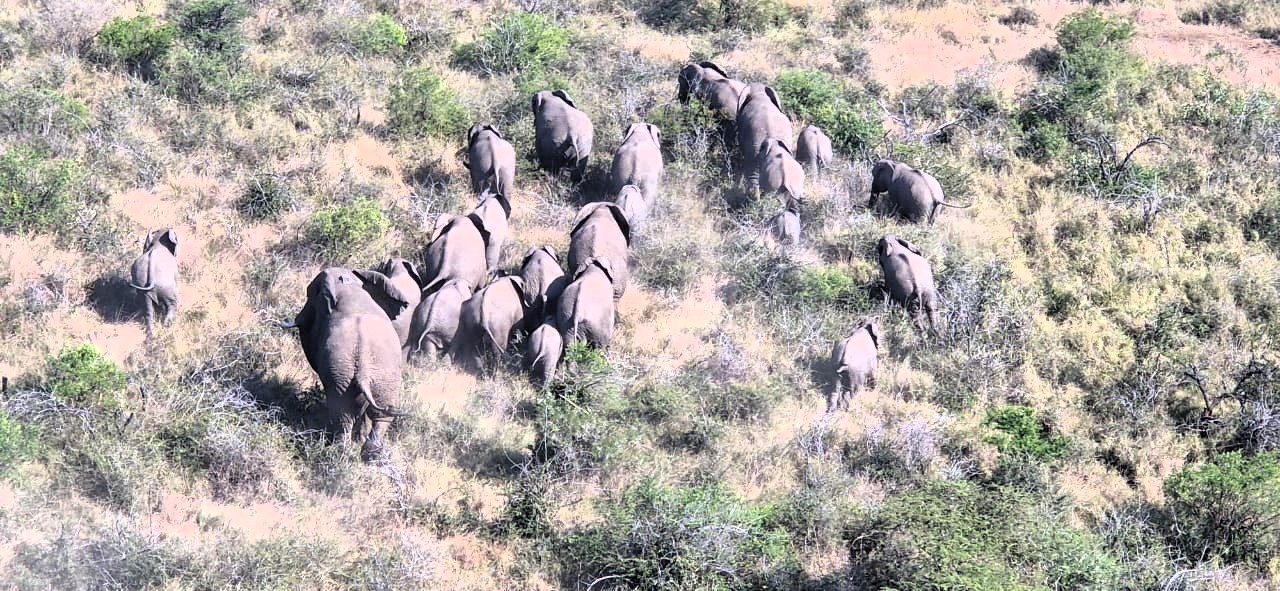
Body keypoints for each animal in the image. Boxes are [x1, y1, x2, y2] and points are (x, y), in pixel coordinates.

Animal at [289, 267, 410, 460]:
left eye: (309, 294)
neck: (349, 288)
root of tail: (363, 368)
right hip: (377, 377)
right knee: (378, 414)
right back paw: (367, 454)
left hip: (343, 374)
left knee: (344, 413)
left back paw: (340, 451)